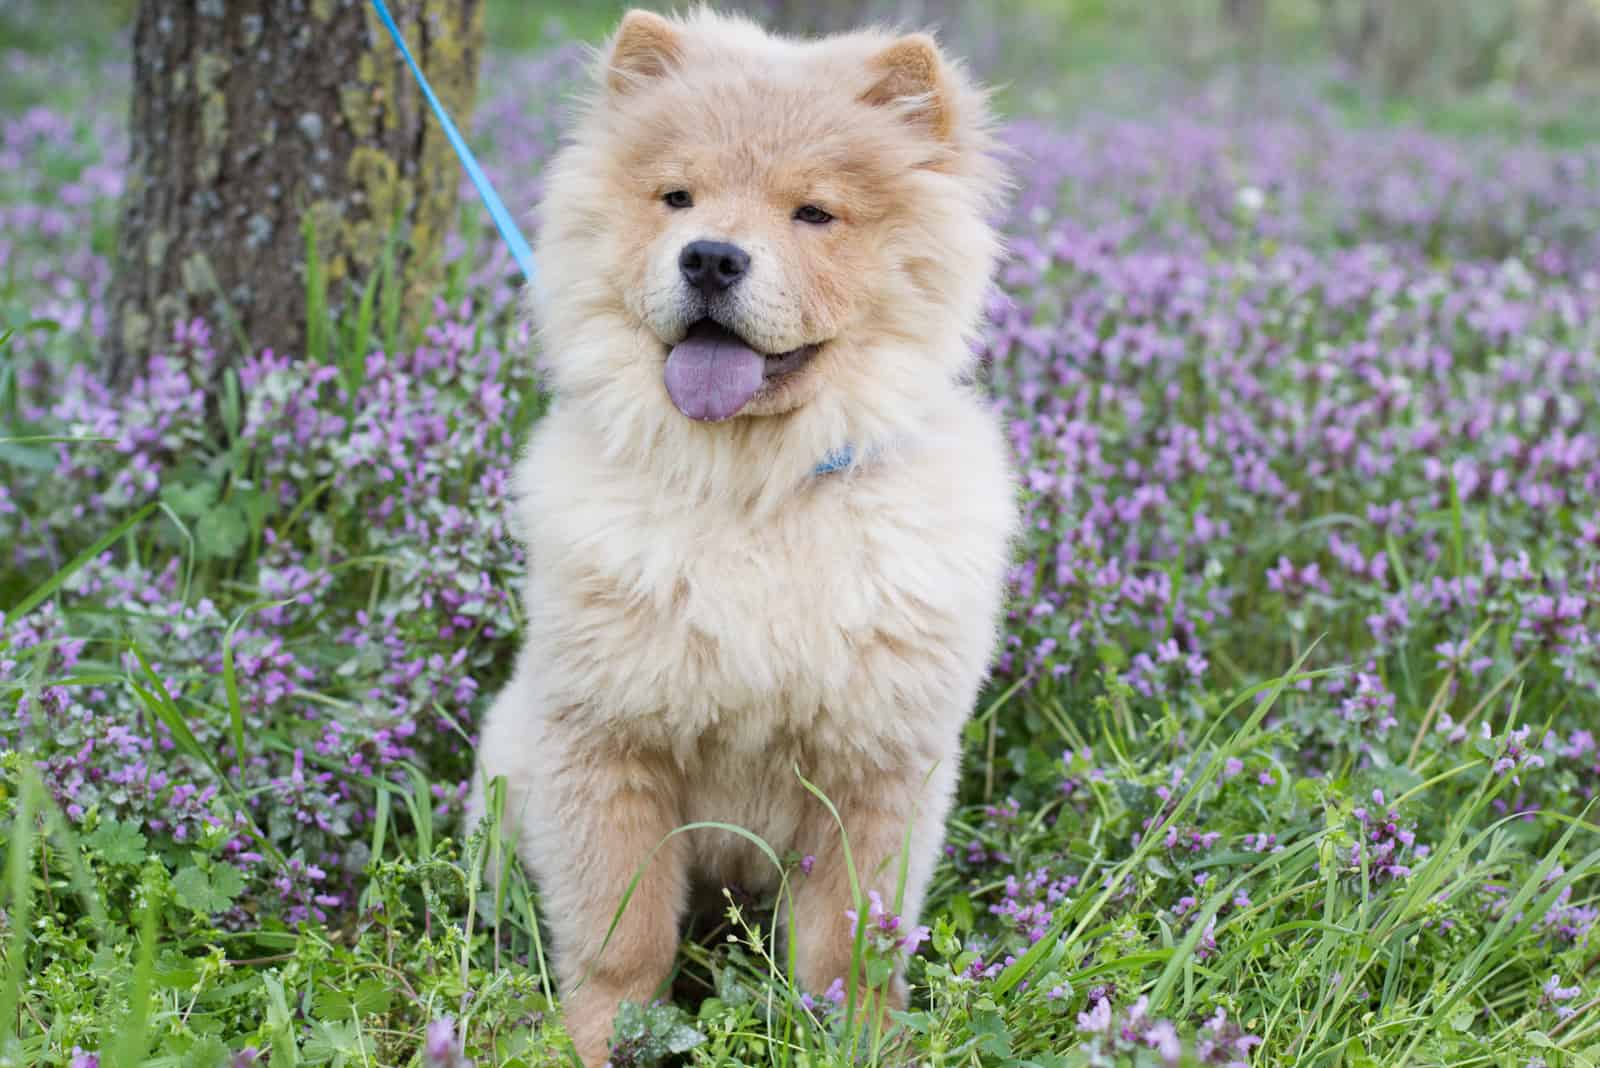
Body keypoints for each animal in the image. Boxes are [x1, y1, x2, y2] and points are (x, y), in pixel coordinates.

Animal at [464, 6, 1011, 1061]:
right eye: (678, 198)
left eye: (814, 214)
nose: (711, 256)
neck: (756, 491)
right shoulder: (607, 746)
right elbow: (622, 935)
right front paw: (596, 1038)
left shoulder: (876, 769)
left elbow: (849, 946)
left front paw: (858, 1039)